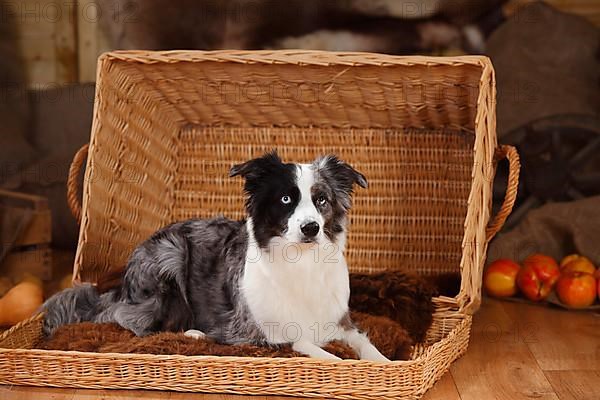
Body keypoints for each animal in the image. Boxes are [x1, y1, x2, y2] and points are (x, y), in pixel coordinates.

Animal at [42, 152, 390, 360]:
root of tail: (121, 288)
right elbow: (315, 348)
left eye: (321, 200)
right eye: (286, 199)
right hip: (169, 256)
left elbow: (368, 347)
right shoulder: (259, 331)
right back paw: (194, 333)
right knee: (131, 321)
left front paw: (382, 364)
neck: (300, 261)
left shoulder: (341, 322)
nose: (310, 228)